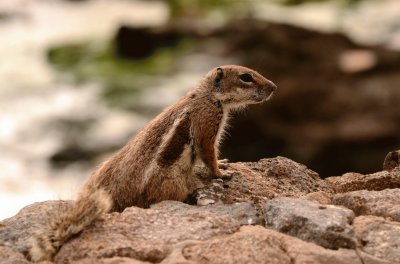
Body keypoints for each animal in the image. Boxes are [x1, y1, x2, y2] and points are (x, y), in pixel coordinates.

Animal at [29, 65, 276, 260]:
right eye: (246, 76)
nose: (274, 87)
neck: (208, 95)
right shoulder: (207, 125)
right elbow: (208, 154)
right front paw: (221, 173)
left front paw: (224, 163)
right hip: (172, 185)